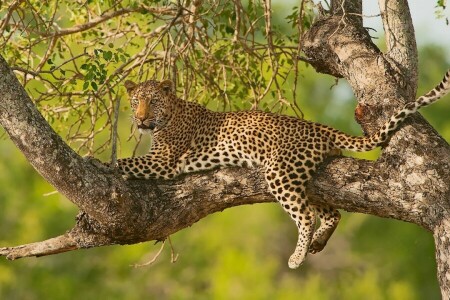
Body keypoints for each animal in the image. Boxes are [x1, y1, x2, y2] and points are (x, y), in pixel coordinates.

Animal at [116, 71, 450, 270]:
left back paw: (297, 256)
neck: (169, 115)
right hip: (305, 178)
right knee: (332, 213)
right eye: (135, 101)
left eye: (152, 102)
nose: (140, 119)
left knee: (306, 217)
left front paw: (107, 166)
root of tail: (321, 128)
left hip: (280, 173)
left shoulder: (163, 162)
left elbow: (121, 162)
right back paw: (318, 243)